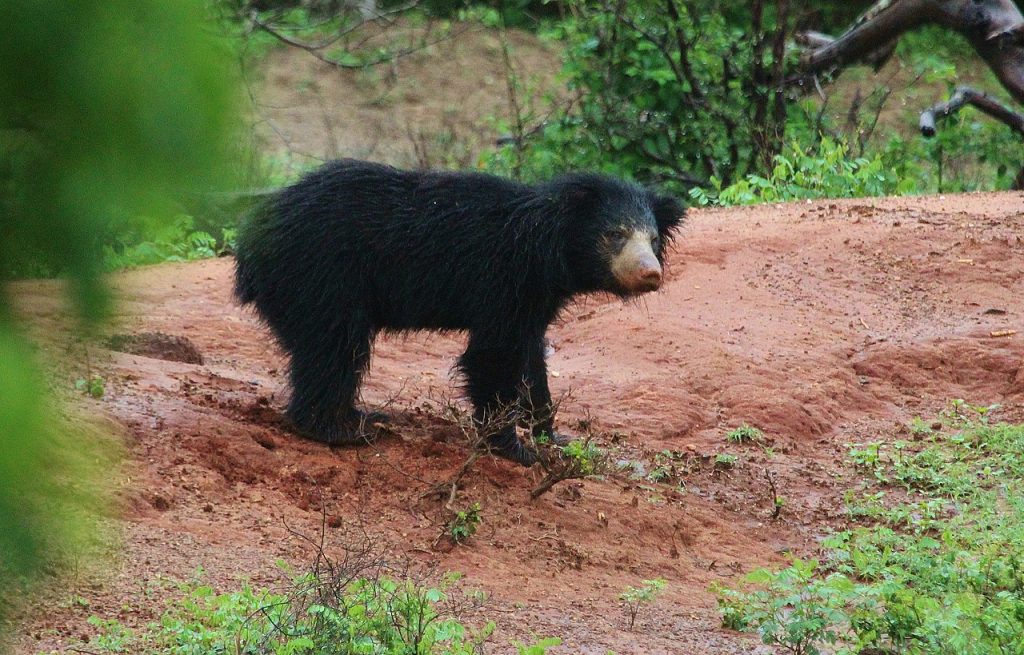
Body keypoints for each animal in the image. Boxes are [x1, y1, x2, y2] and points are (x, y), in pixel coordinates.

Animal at [234, 158, 684, 466]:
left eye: (652, 238)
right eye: (615, 235)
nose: (650, 274)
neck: (549, 251)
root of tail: (249, 249)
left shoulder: (535, 298)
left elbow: (532, 357)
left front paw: (549, 434)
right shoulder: (504, 280)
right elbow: (493, 356)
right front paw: (513, 447)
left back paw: (360, 415)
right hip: (321, 275)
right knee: (333, 347)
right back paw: (339, 429)